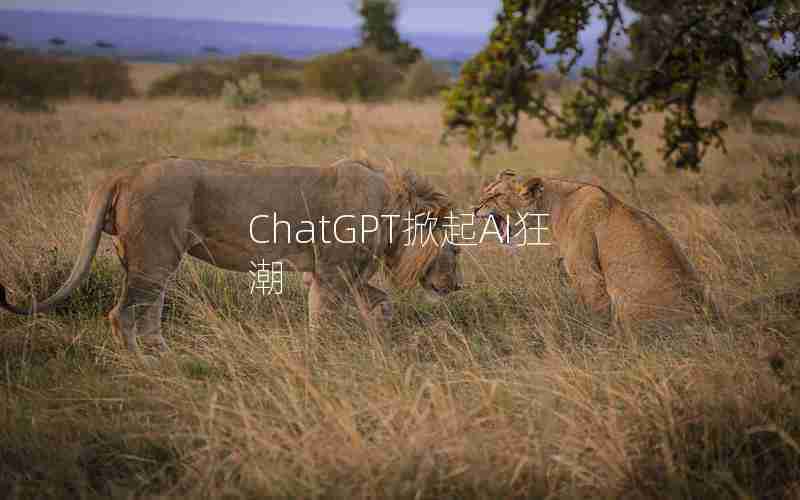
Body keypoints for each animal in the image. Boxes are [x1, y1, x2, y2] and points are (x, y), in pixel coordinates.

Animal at [0, 158, 462, 354]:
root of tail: (126, 173)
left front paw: (376, 341)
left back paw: (162, 353)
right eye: (455, 249)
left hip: (152, 261)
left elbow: (374, 304)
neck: (390, 209)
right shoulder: (333, 272)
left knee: (149, 310)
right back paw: (143, 364)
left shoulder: (325, 273)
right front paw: (327, 352)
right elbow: (332, 316)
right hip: (155, 255)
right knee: (122, 314)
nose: (457, 287)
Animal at [472, 170, 708, 330]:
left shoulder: (588, 275)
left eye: (494, 196)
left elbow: (596, 314)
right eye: (484, 193)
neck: (551, 205)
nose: (474, 208)